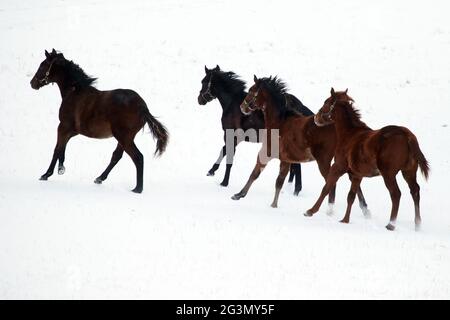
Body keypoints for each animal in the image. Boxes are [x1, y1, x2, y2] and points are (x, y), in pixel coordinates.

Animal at [29, 49, 168, 194]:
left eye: (43, 65)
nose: (32, 83)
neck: (74, 93)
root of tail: (143, 108)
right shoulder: (72, 131)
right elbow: (62, 148)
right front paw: (61, 168)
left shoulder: (63, 127)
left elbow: (57, 149)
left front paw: (46, 174)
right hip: (124, 138)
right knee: (116, 156)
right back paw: (99, 178)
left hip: (124, 137)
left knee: (138, 157)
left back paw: (137, 189)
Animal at [199, 65, 312, 195]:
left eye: (203, 82)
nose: (199, 99)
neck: (232, 103)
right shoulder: (236, 138)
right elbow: (224, 151)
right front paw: (212, 171)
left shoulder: (231, 136)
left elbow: (228, 158)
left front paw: (223, 182)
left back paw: (296, 189)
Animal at [232, 75, 370, 212]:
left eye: (251, 91)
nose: (242, 107)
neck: (279, 123)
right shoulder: (286, 160)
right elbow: (279, 182)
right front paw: (273, 204)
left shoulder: (266, 153)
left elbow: (255, 174)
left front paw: (239, 195)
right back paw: (364, 210)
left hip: (324, 162)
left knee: (332, 184)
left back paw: (329, 210)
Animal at [304, 89, 428, 231]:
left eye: (326, 102)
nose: (316, 118)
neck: (349, 134)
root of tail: (406, 135)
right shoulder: (356, 174)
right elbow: (351, 196)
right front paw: (345, 220)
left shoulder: (338, 167)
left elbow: (326, 188)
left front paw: (310, 211)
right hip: (408, 172)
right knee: (415, 191)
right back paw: (417, 224)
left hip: (389, 174)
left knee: (396, 194)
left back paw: (391, 224)